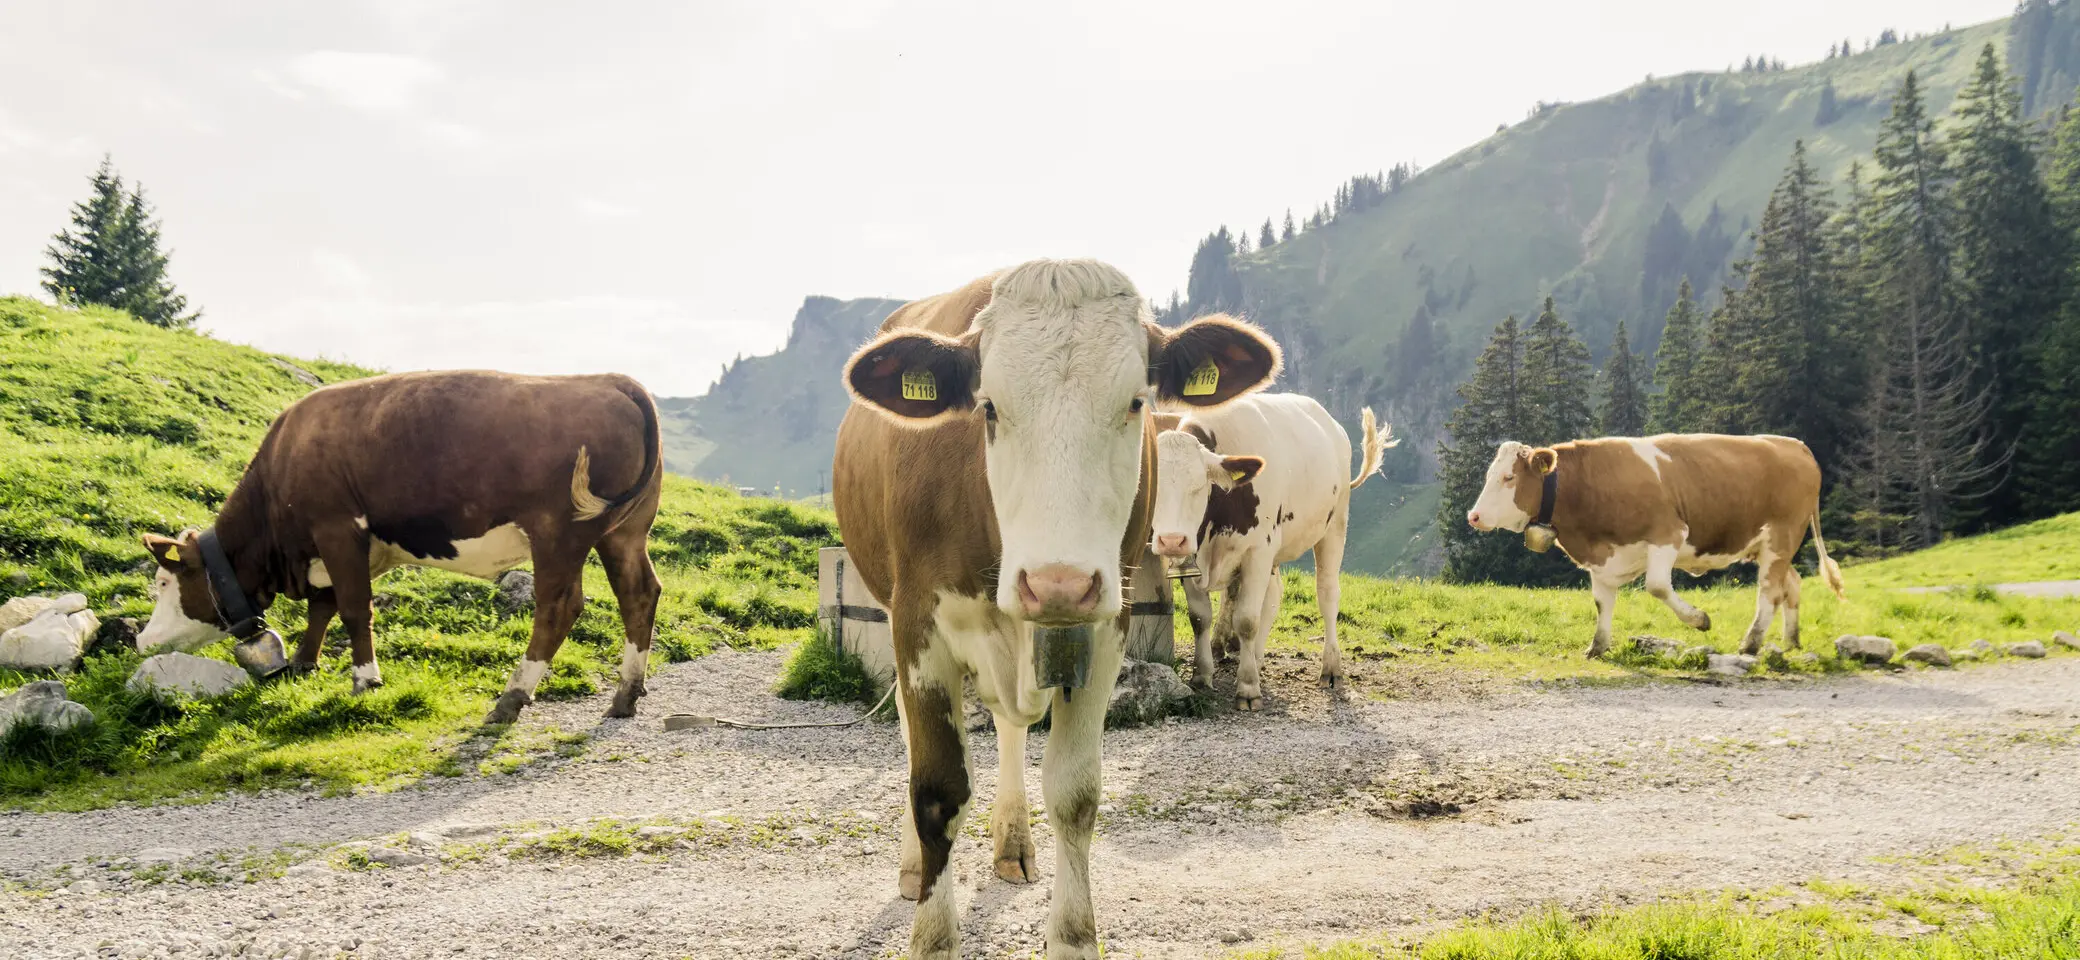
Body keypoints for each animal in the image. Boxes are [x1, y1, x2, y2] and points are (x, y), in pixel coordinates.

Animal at [137, 370, 663, 725]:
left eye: (162, 582)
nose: (141, 640)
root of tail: (610, 380)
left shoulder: (337, 528)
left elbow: (353, 608)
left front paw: (365, 679)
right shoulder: (343, 547)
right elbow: (323, 606)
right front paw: (304, 663)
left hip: (558, 533)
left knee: (559, 606)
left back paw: (510, 698)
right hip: (624, 532)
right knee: (639, 593)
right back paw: (626, 694)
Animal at [833, 259, 1281, 959]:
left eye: (1136, 402)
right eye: (987, 406)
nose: (1058, 584)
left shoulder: (1104, 626)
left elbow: (1075, 792)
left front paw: (1073, 936)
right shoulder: (917, 623)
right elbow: (936, 791)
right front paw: (933, 936)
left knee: (1011, 727)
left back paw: (1013, 841)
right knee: (914, 741)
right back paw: (911, 866)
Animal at [1147, 397, 1392, 708]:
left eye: (1199, 487)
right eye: (1151, 486)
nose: (1171, 540)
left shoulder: (1258, 550)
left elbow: (1246, 620)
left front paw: (1248, 687)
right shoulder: (1193, 557)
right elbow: (1200, 617)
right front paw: (1202, 676)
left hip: (1334, 526)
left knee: (1327, 595)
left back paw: (1331, 668)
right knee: (1274, 595)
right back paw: (1257, 658)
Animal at [1464, 434, 1845, 657]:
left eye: (1508, 478)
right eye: (1488, 475)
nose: (1474, 516)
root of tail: (1794, 444)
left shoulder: (1668, 533)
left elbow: (1657, 586)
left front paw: (1700, 620)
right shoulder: (1603, 558)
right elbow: (1602, 603)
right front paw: (1597, 647)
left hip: (1782, 536)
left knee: (1768, 591)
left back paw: (1750, 643)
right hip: (1770, 546)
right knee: (1790, 584)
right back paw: (1791, 641)